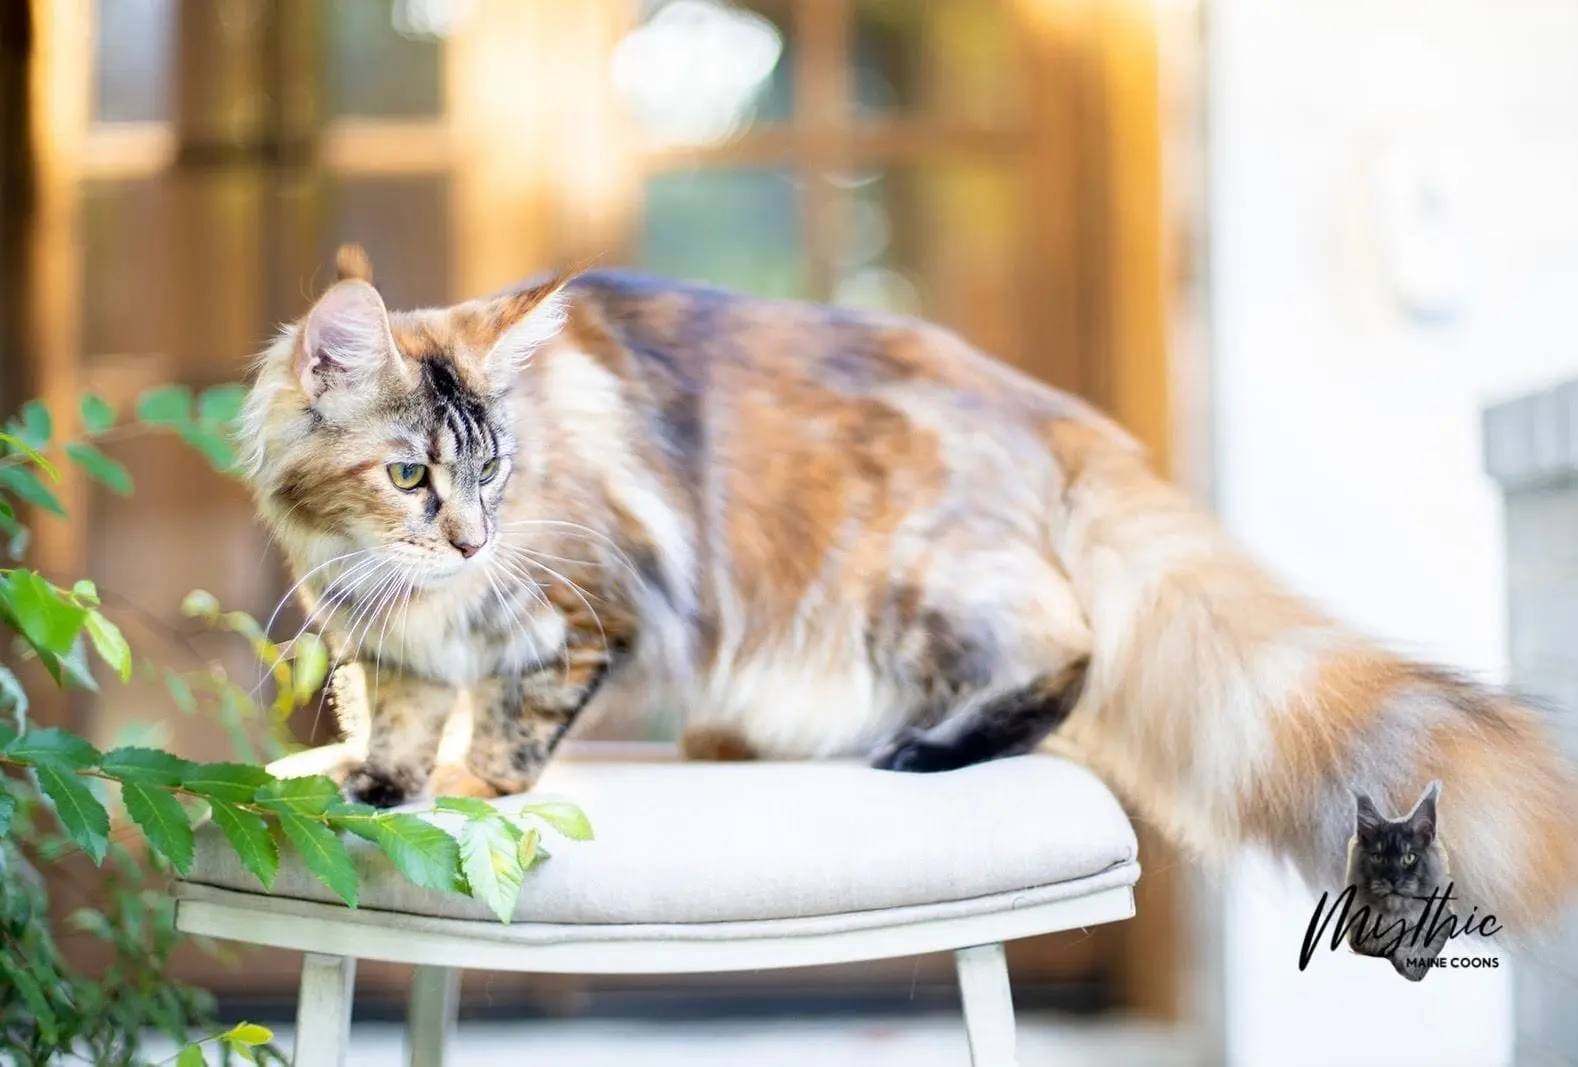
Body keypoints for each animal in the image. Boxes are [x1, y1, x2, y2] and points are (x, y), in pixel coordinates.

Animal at [236, 247, 1578, 934]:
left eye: (494, 469)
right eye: (411, 473)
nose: (472, 542)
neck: (400, 579)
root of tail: (1040, 404)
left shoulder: (582, 616)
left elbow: (513, 728)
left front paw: (473, 787)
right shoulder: (388, 645)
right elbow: (401, 716)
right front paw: (380, 782)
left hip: (917, 582)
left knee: (1068, 647)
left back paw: (928, 749)